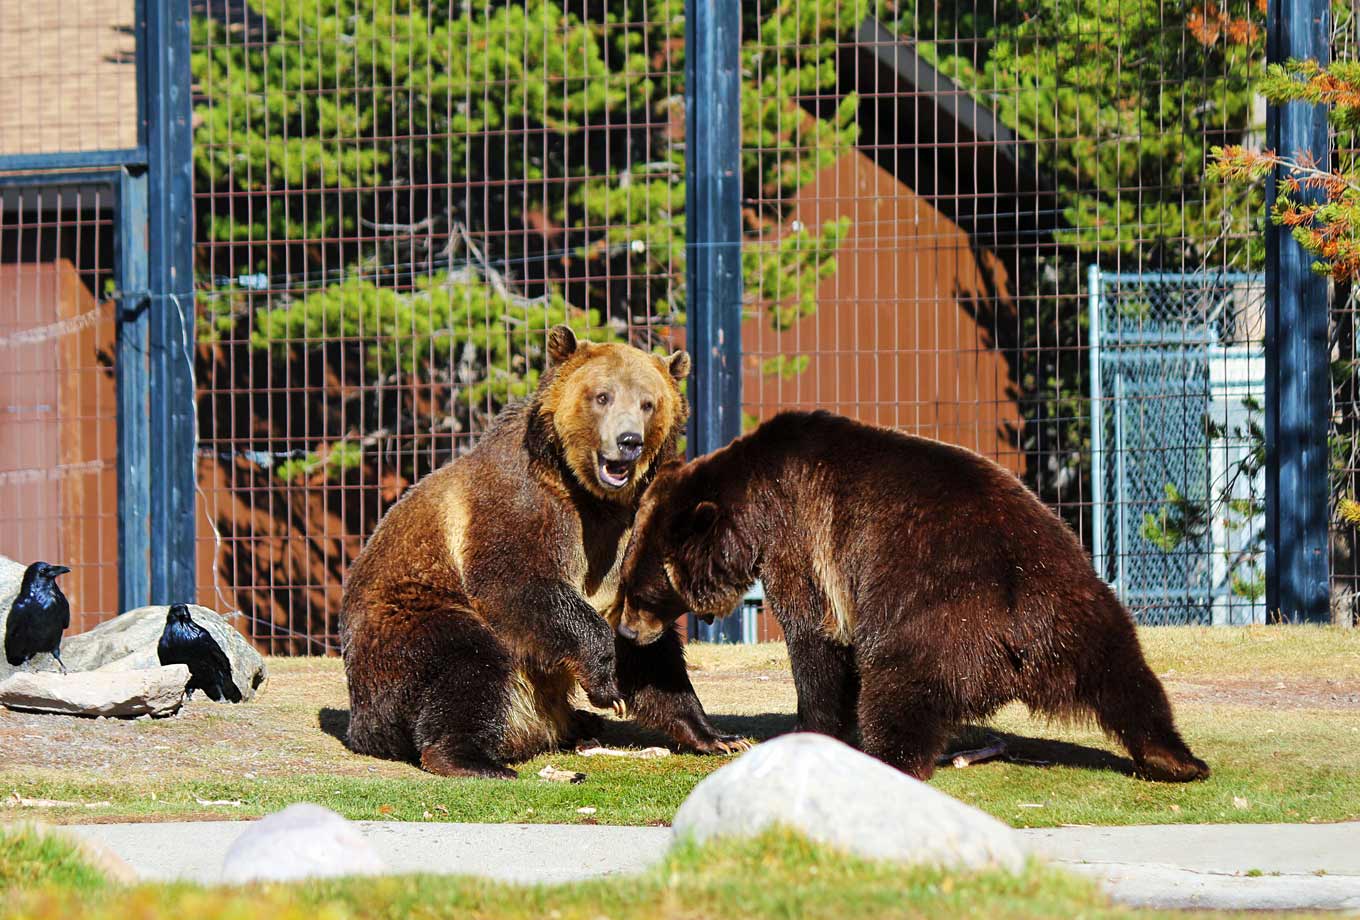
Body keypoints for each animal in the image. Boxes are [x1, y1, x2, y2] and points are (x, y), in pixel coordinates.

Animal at [341, 325, 746, 778]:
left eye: (648, 403)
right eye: (602, 396)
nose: (629, 442)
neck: (590, 495)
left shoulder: (626, 529)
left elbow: (648, 643)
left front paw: (715, 734)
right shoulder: (521, 505)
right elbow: (519, 584)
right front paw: (605, 683)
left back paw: (582, 724)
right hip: (407, 615)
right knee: (466, 660)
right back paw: (473, 758)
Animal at [615, 409, 1210, 783]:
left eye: (642, 587)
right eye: (624, 581)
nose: (624, 629)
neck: (747, 510)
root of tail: (1022, 627)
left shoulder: (801, 544)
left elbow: (815, 643)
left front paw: (809, 727)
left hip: (934, 616)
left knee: (899, 686)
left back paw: (888, 758)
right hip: (1076, 596)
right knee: (1127, 676)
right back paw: (1176, 758)